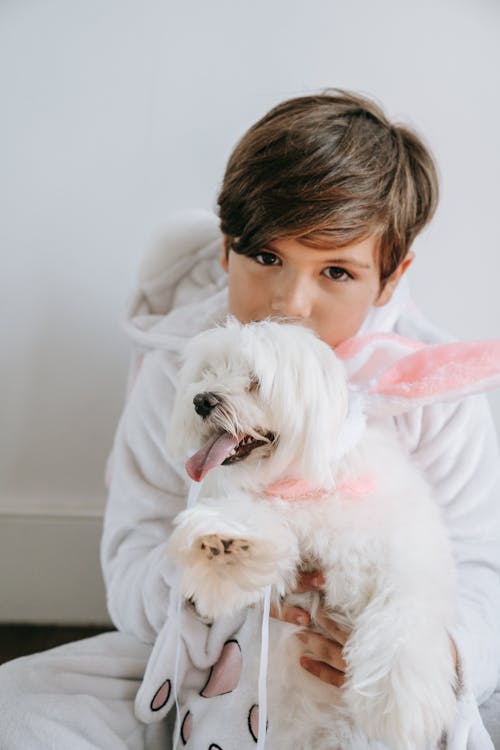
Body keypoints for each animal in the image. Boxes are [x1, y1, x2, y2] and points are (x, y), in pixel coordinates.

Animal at [167, 320, 500, 750]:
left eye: (255, 381)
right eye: (209, 372)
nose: (201, 401)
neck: (301, 485)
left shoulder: (407, 554)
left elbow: (402, 616)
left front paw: (397, 699)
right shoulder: (277, 524)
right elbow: (255, 535)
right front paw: (222, 548)